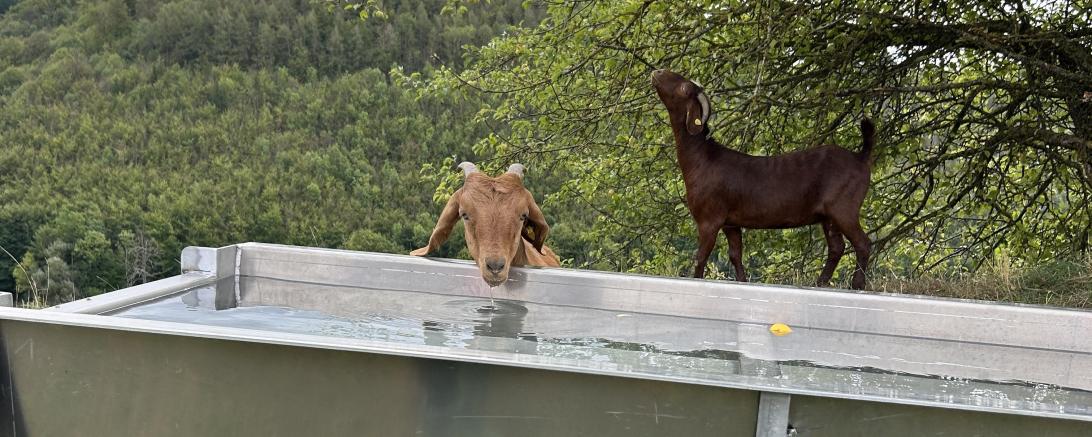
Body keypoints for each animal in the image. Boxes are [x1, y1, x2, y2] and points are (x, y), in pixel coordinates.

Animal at [650, 69, 877, 290]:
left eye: (684, 88)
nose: (657, 72)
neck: (703, 158)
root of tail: (860, 157)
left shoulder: (709, 219)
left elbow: (701, 257)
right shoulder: (730, 223)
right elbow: (735, 255)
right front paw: (742, 281)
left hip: (843, 208)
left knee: (862, 243)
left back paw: (857, 284)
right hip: (828, 216)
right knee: (837, 247)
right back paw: (820, 283)